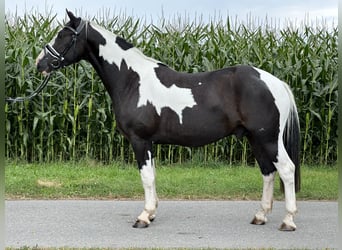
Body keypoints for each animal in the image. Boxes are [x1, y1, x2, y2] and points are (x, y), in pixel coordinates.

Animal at [36, 11, 300, 230]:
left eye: (63, 35)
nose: (40, 63)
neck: (132, 79)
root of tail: (276, 82)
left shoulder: (140, 140)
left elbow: (146, 177)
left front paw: (144, 217)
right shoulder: (150, 142)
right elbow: (152, 176)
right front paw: (152, 213)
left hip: (268, 139)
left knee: (287, 170)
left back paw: (288, 220)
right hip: (255, 139)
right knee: (268, 172)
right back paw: (260, 216)